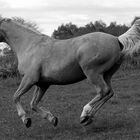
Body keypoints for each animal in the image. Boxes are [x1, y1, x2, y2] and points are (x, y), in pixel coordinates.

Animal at [0, 17, 138, 129]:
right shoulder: (42, 84)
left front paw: (26, 120)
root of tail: (116, 39)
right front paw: (52, 119)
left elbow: (15, 97)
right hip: (107, 74)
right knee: (109, 92)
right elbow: (33, 104)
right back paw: (87, 118)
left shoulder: (29, 79)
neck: (29, 45)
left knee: (103, 91)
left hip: (92, 73)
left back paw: (85, 112)